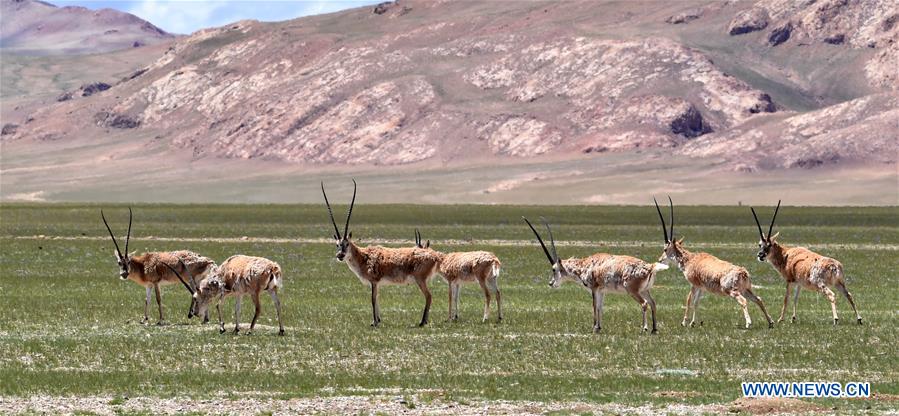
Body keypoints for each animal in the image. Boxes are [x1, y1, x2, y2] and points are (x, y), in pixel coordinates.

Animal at [322, 180, 442, 326]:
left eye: (347, 244)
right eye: (337, 244)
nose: (340, 255)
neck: (363, 256)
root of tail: (434, 256)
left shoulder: (374, 281)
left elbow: (373, 300)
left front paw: (374, 322)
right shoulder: (377, 284)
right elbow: (377, 299)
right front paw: (378, 320)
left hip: (420, 280)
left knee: (429, 296)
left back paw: (422, 322)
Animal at [520, 216, 668, 334]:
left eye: (554, 269)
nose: (551, 283)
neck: (585, 265)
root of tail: (650, 267)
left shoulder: (594, 288)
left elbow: (594, 306)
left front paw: (594, 328)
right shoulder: (602, 290)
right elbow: (600, 307)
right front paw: (599, 327)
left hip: (633, 291)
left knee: (644, 304)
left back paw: (644, 328)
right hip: (645, 290)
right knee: (653, 303)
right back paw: (654, 329)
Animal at [652, 197, 772, 330]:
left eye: (665, 249)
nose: (660, 259)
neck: (690, 259)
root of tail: (743, 272)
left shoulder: (694, 284)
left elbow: (689, 300)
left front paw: (684, 322)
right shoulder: (702, 287)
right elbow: (696, 302)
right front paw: (693, 322)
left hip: (733, 291)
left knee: (743, 301)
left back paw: (748, 323)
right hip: (746, 290)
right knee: (758, 299)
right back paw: (770, 322)